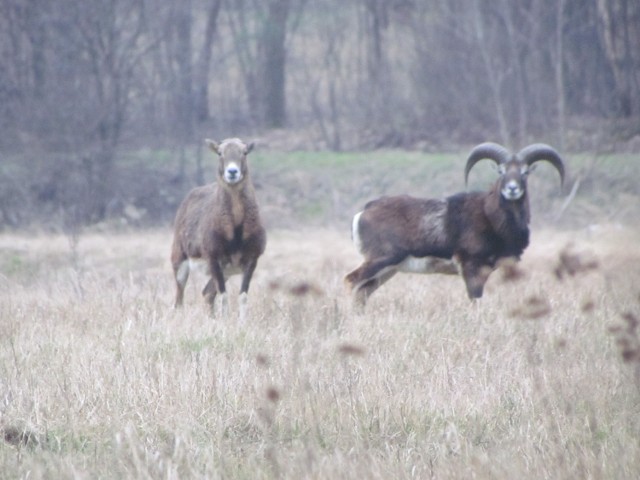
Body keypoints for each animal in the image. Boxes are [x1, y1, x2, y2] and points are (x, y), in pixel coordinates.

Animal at [170, 139, 264, 318]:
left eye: (244, 152)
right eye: (220, 153)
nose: (232, 172)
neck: (235, 231)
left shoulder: (250, 261)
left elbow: (242, 296)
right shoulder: (214, 260)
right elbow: (224, 295)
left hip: (225, 272)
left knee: (207, 293)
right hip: (180, 262)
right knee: (179, 297)